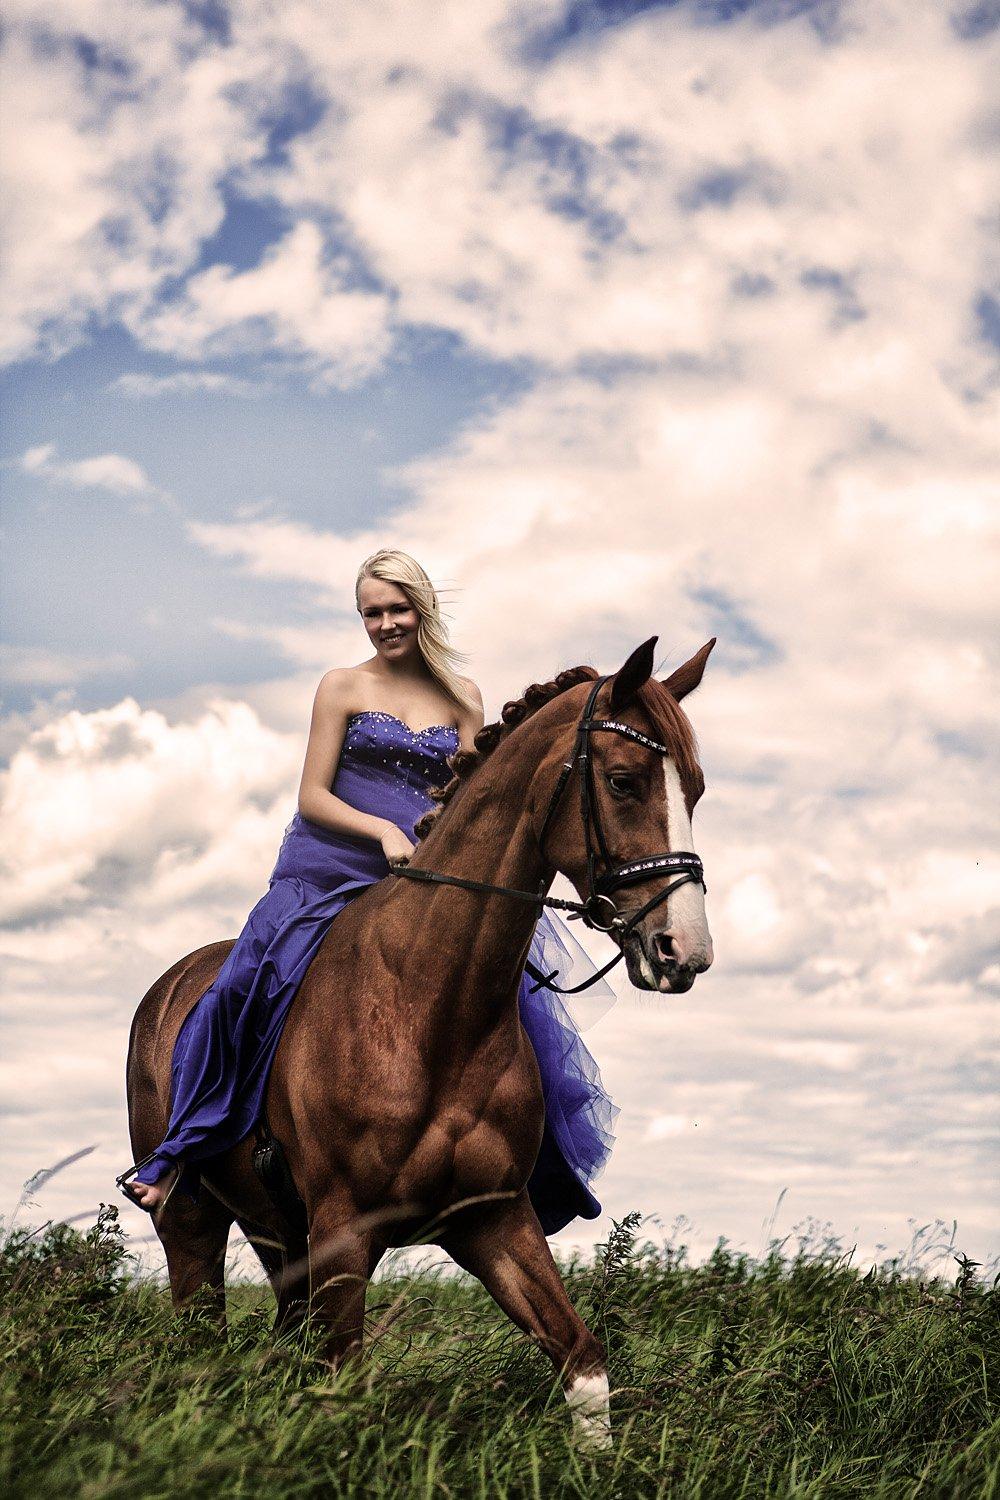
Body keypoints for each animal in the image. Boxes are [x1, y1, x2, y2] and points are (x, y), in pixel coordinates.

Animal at [128, 636, 716, 1452]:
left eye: (695, 790)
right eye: (625, 783)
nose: (684, 952)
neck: (431, 1008)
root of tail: (170, 984)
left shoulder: (493, 1220)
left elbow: (583, 1361)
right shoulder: (344, 1233)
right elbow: (341, 1385)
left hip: (277, 1232)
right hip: (190, 1221)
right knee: (197, 1332)